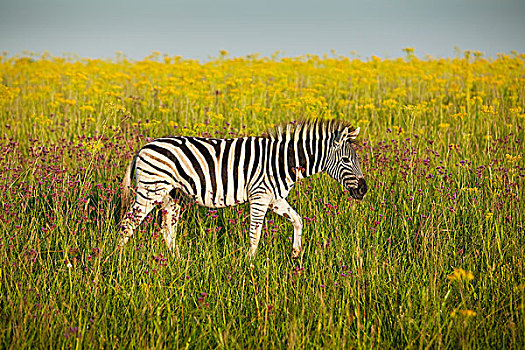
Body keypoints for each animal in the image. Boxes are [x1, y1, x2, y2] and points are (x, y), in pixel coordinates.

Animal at [118, 120, 366, 260]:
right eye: (346, 160)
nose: (363, 190)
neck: (283, 162)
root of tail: (143, 147)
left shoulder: (275, 198)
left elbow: (297, 220)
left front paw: (295, 253)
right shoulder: (260, 196)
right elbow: (255, 233)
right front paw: (250, 265)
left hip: (171, 196)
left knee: (167, 230)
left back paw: (178, 262)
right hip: (150, 190)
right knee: (127, 224)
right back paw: (117, 260)